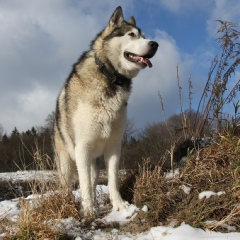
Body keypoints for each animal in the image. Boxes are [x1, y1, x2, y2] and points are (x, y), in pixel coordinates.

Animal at [54, 6, 158, 216]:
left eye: (144, 36)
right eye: (131, 35)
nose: (155, 44)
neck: (110, 77)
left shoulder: (114, 146)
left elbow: (112, 179)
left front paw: (119, 205)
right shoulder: (82, 147)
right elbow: (84, 184)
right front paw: (88, 210)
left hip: (94, 162)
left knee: (93, 180)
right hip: (66, 162)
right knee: (69, 184)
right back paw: (70, 203)